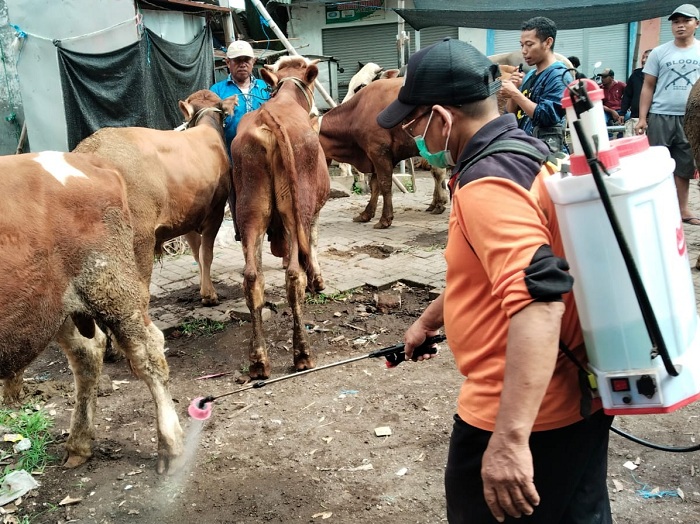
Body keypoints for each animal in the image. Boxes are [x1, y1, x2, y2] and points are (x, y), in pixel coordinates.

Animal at [0, 151, 183, 474]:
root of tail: (90, 162)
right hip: (55, 302)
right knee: (87, 352)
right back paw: (79, 444)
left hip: (110, 286)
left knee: (147, 352)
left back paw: (169, 446)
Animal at [75, 90, 235, 310]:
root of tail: (89, 149)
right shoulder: (216, 211)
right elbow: (206, 254)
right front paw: (209, 295)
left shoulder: (187, 216)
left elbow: (197, 254)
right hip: (139, 237)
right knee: (138, 293)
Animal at [230, 55, 328, 378]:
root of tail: (268, 119)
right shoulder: (314, 211)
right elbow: (312, 243)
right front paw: (317, 280)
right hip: (296, 209)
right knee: (293, 276)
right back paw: (302, 354)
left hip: (251, 210)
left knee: (251, 278)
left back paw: (259, 360)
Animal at [318, 77, 448, 228]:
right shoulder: (372, 155)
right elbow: (375, 185)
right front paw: (366, 214)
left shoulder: (379, 152)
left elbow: (384, 184)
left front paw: (385, 219)